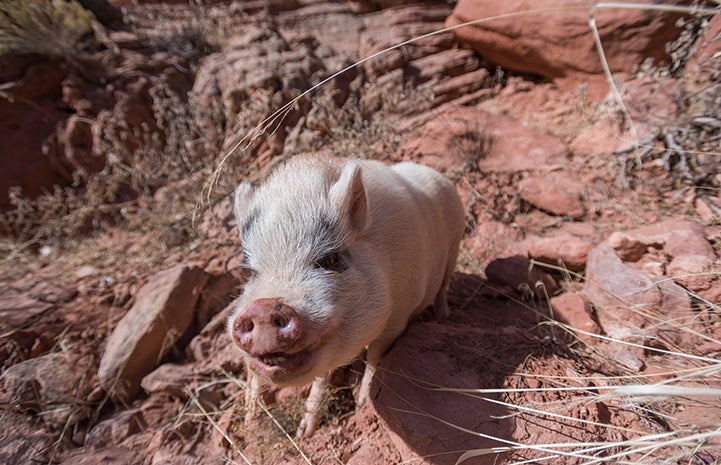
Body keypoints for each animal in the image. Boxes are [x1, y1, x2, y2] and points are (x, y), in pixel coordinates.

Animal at [226, 154, 466, 436]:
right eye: (249, 272)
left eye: (330, 259)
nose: (262, 307)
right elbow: (322, 376)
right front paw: (304, 432)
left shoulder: (398, 317)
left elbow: (375, 356)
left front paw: (363, 403)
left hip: (456, 245)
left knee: (444, 286)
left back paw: (442, 317)